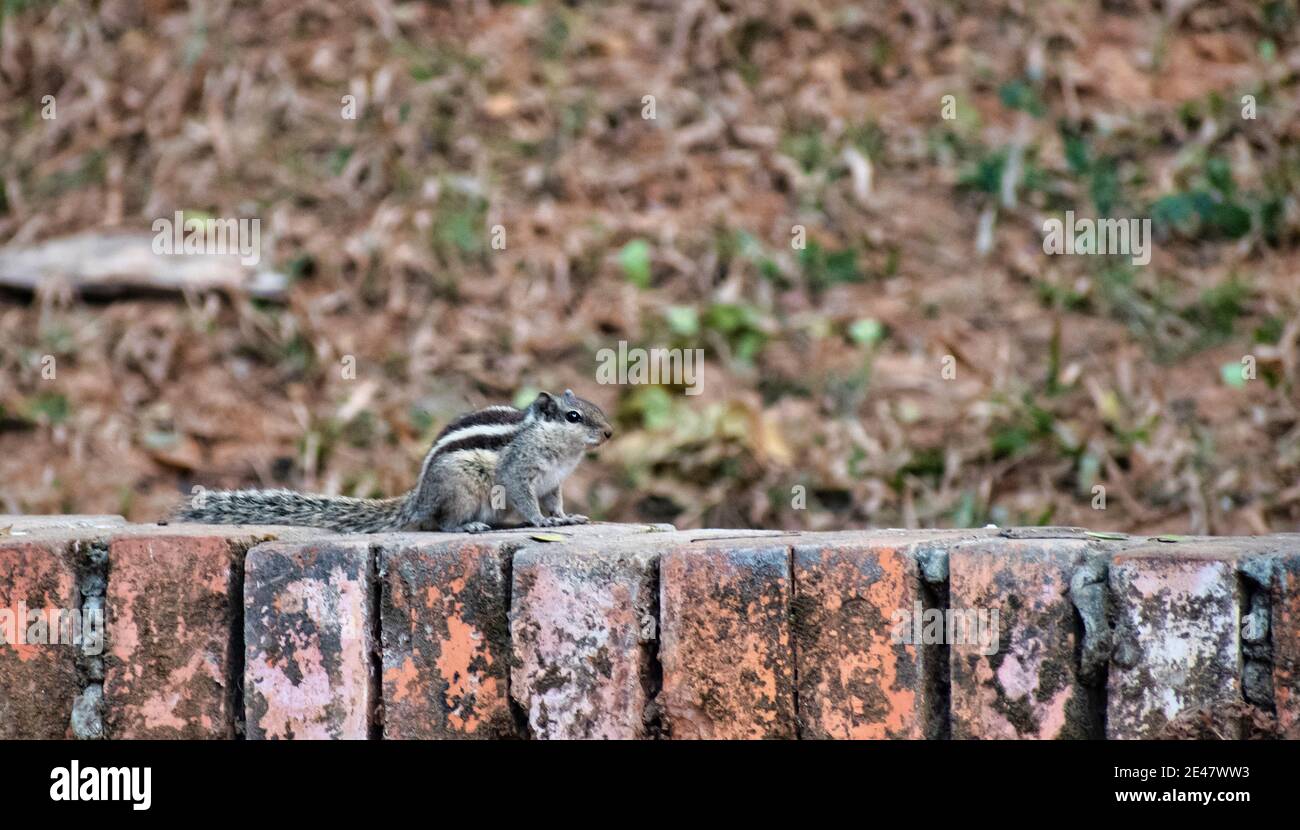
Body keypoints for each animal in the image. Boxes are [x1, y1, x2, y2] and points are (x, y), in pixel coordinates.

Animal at [172, 390, 613, 533]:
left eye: (592, 407)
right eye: (573, 417)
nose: (609, 432)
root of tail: (418, 498)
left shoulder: (554, 482)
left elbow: (556, 502)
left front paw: (565, 518)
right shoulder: (518, 473)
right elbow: (525, 499)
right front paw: (540, 522)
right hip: (463, 489)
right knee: (443, 522)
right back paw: (468, 526)